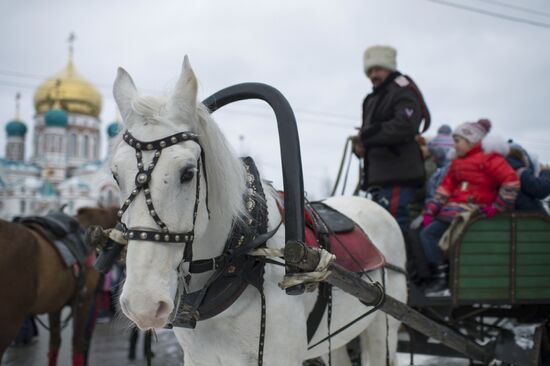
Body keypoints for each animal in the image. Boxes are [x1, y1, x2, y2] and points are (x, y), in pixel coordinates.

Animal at [112, 55, 408, 364]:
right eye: (115, 174)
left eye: (188, 172)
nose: (143, 304)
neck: (244, 258)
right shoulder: (198, 357)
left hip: (382, 328)